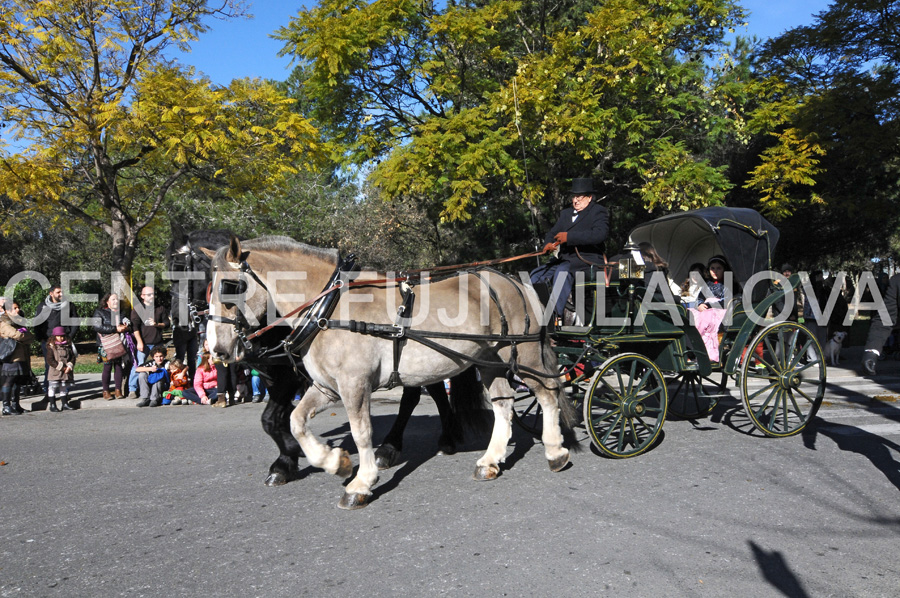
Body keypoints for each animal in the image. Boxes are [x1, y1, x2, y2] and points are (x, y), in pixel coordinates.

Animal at [170, 226, 478, 488]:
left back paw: (398, 447)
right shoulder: (280, 374)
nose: (216, 347)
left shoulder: (289, 376)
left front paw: (288, 459)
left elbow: (272, 418)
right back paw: (445, 437)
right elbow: (279, 419)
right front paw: (296, 456)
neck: (322, 303)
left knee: (417, 397)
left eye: (230, 286)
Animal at [205, 237, 572, 508]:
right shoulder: (326, 387)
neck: (328, 309)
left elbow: (361, 432)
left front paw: (360, 483)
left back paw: (555, 451)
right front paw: (335, 461)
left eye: (230, 287)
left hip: (522, 354)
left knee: (547, 393)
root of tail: (514, 280)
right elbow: (296, 421)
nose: (217, 349)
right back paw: (490, 460)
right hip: (489, 361)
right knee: (503, 404)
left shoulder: (354, 384)